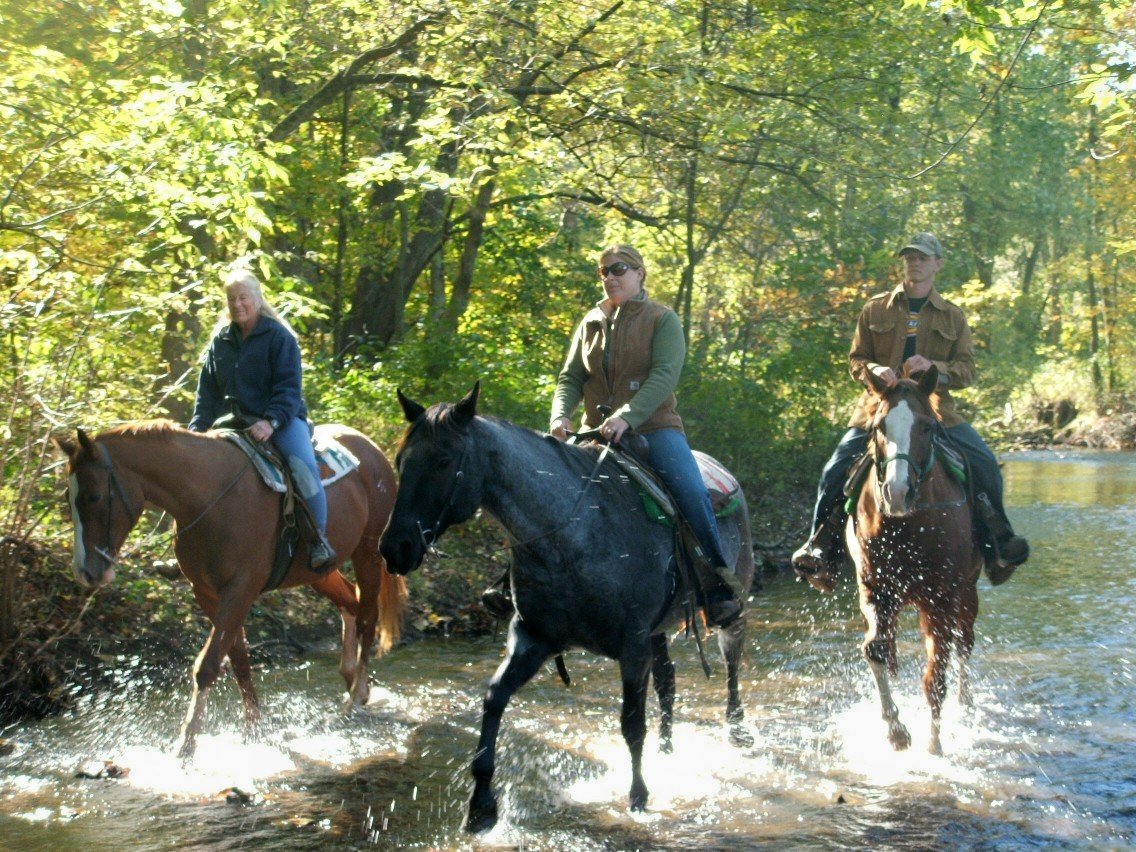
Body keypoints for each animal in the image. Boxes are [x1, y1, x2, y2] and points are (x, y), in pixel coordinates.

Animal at [55, 422, 408, 758]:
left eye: (94, 496)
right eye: (67, 498)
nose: (85, 571)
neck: (210, 499)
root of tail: (371, 448)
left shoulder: (240, 591)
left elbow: (208, 665)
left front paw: (185, 748)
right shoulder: (207, 593)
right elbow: (238, 659)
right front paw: (253, 730)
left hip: (368, 552)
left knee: (368, 617)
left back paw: (355, 698)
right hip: (318, 572)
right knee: (350, 602)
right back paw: (353, 680)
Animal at [379, 386, 754, 836]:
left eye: (444, 460)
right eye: (400, 460)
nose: (394, 548)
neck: (568, 535)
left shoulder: (631, 645)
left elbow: (631, 722)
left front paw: (638, 797)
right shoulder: (533, 638)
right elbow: (493, 698)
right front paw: (481, 806)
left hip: (729, 606)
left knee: (731, 662)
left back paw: (737, 730)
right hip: (659, 631)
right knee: (668, 681)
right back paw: (667, 753)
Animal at [849, 370, 981, 758]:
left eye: (926, 426)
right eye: (879, 427)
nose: (897, 493)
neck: (909, 525)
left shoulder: (941, 599)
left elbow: (935, 676)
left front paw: (934, 745)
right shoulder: (875, 592)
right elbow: (875, 650)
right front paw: (896, 731)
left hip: (967, 592)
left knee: (963, 643)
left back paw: (964, 704)